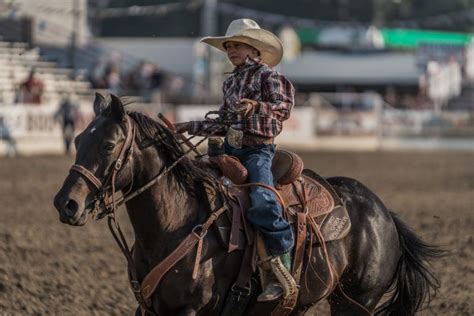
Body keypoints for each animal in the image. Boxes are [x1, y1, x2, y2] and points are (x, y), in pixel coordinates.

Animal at [53, 95, 442, 314]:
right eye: (77, 138)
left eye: (108, 145)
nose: (65, 204)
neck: (177, 222)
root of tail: (384, 213)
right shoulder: (148, 308)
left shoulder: (189, 310)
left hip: (356, 304)